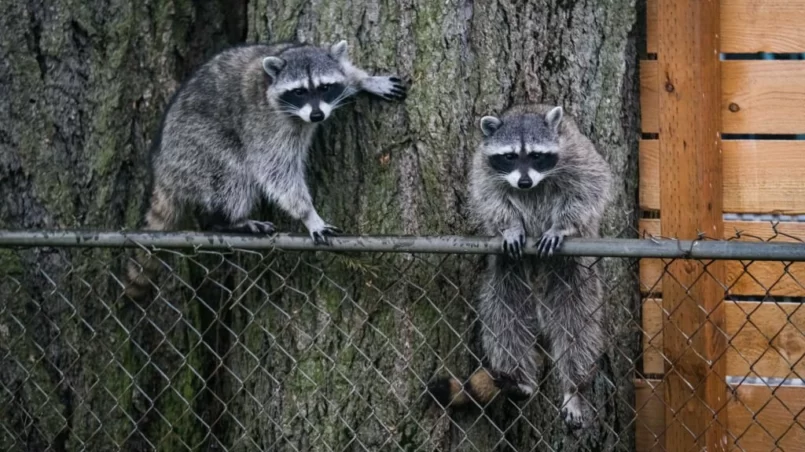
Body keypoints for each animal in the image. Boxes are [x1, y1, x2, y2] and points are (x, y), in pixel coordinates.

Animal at [125, 39, 408, 300]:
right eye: (299, 92)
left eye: (325, 87)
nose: (317, 116)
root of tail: (162, 167)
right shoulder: (265, 123)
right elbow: (275, 170)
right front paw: (309, 214)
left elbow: (346, 71)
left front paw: (364, 79)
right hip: (197, 148)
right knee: (234, 175)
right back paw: (228, 221)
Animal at [430, 104, 612, 430]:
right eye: (510, 156)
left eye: (537, 155)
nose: (524, 183)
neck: (525, 113)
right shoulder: (483, 166)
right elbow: (491, 197)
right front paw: (510, 226)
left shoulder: (578, 155)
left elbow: (590, 188)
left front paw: (562, 226)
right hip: (506, 272)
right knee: (503, 318)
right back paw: (519, 380)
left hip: (575, 272)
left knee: (578, 327)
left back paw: (573, 387)